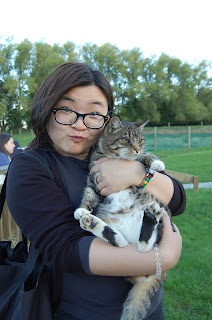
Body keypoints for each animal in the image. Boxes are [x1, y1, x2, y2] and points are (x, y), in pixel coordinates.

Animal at [74, 117, 171, 320]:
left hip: (163, 214)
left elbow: (145, 158)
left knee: (146, 246)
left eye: (140, 141)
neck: (114, 158)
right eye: (126, 139)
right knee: (124, 243)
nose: (136, 149)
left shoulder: (137, 159)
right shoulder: (93, 179)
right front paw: (82, 210)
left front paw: (156, 163)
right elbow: (88, 194)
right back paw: (91, 222)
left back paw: (150, 217)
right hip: (109, 219)